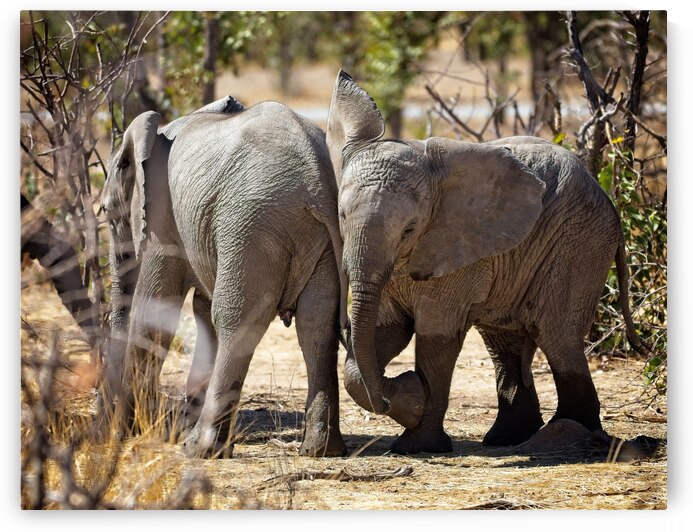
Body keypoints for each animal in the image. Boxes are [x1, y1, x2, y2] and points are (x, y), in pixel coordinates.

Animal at [101, 96, 349, 458]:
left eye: (106, 214)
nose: (109, 424)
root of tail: (316, 181)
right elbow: (201, 314)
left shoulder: (162, 218)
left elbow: (155, 311)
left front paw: (135, 431)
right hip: (318, 239)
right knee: (316, 325)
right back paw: (320, 449)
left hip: (251, 225)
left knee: (237, 320)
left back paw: (199, 448)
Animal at [326, 70, 647, 454]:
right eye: (342, 216)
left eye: (409, 229)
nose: (389, 399)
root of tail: (611, 202)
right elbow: (379, 335)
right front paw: (410, 400)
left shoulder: (456, 250)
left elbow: (437, 337)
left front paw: (418, 440)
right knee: (504, 341)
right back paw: (506, 440)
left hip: (579, 242)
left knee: (557, 334)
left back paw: (566, 436)